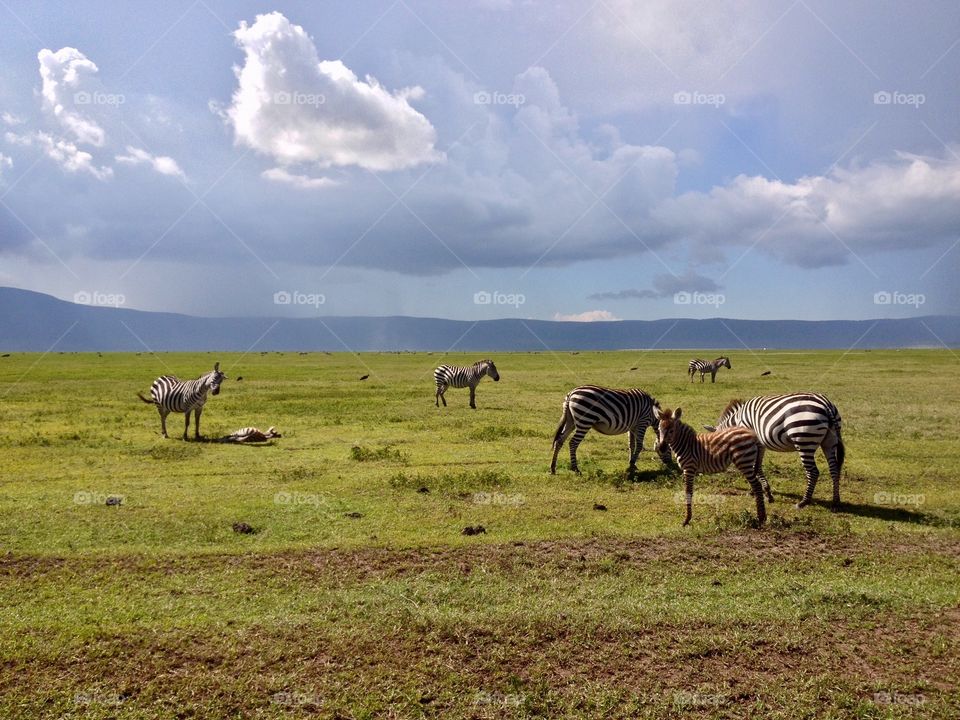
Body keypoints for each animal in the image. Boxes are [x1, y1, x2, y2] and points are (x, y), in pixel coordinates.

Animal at [703, 393, 844, 509]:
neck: (737, 422)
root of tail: (826, 404)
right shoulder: (760, 444)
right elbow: (757, 467)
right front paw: (761, 491)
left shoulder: (753, 443)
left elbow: (755, 468)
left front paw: (761, 492)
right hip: (829, 442)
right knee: (834, 469)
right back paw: (835, 501)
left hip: (804, 441)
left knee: (813, 472)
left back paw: (804, 502)